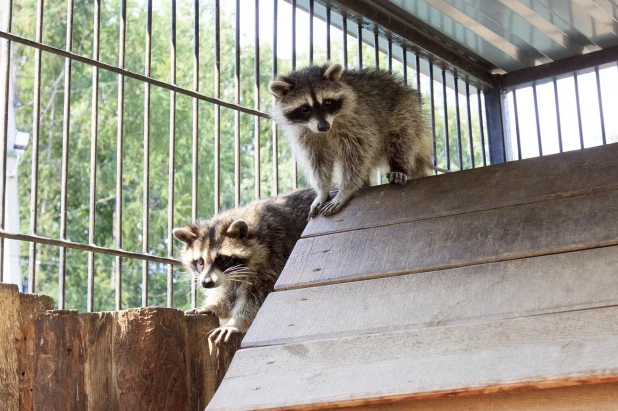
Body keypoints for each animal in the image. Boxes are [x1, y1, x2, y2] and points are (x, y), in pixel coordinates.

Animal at [171, 188, 312, 346]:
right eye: (200, 262)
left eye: (223, 259)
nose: (206, 283)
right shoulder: (229, 276)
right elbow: (228, 294)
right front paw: (214, 306)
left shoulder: (275, 256)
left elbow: (259, 298)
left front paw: (235, 323)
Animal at [270, 62, 434, 217]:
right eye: (305, 108)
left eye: (327, 103)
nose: (323, 126)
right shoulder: (306, 135)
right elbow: (318, 162)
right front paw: (322, 191)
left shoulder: (358, 121)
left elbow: (356, 156)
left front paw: (345, 190)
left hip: (406, 112)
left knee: (402, 137)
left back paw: (399, 167)